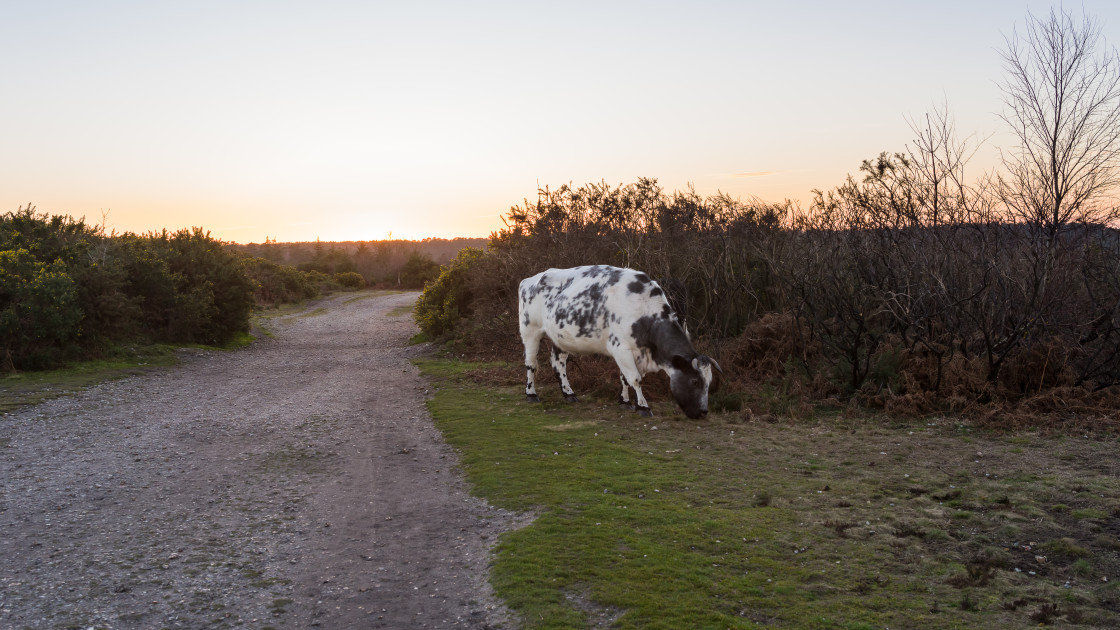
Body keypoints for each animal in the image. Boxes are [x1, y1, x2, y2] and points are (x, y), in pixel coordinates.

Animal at [517, 263, 725, 417]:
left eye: (709, 382)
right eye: (695, 382)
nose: (703, 412)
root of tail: (529, 279)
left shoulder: (631, 352)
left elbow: (625, 377)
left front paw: (625, 401)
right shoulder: (621, 348)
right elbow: (635, 379)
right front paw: (643, 406)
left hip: (560, 337)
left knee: (558, 364)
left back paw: (569, 393)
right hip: (530, 331)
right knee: (531, 363)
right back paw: (531, 394)